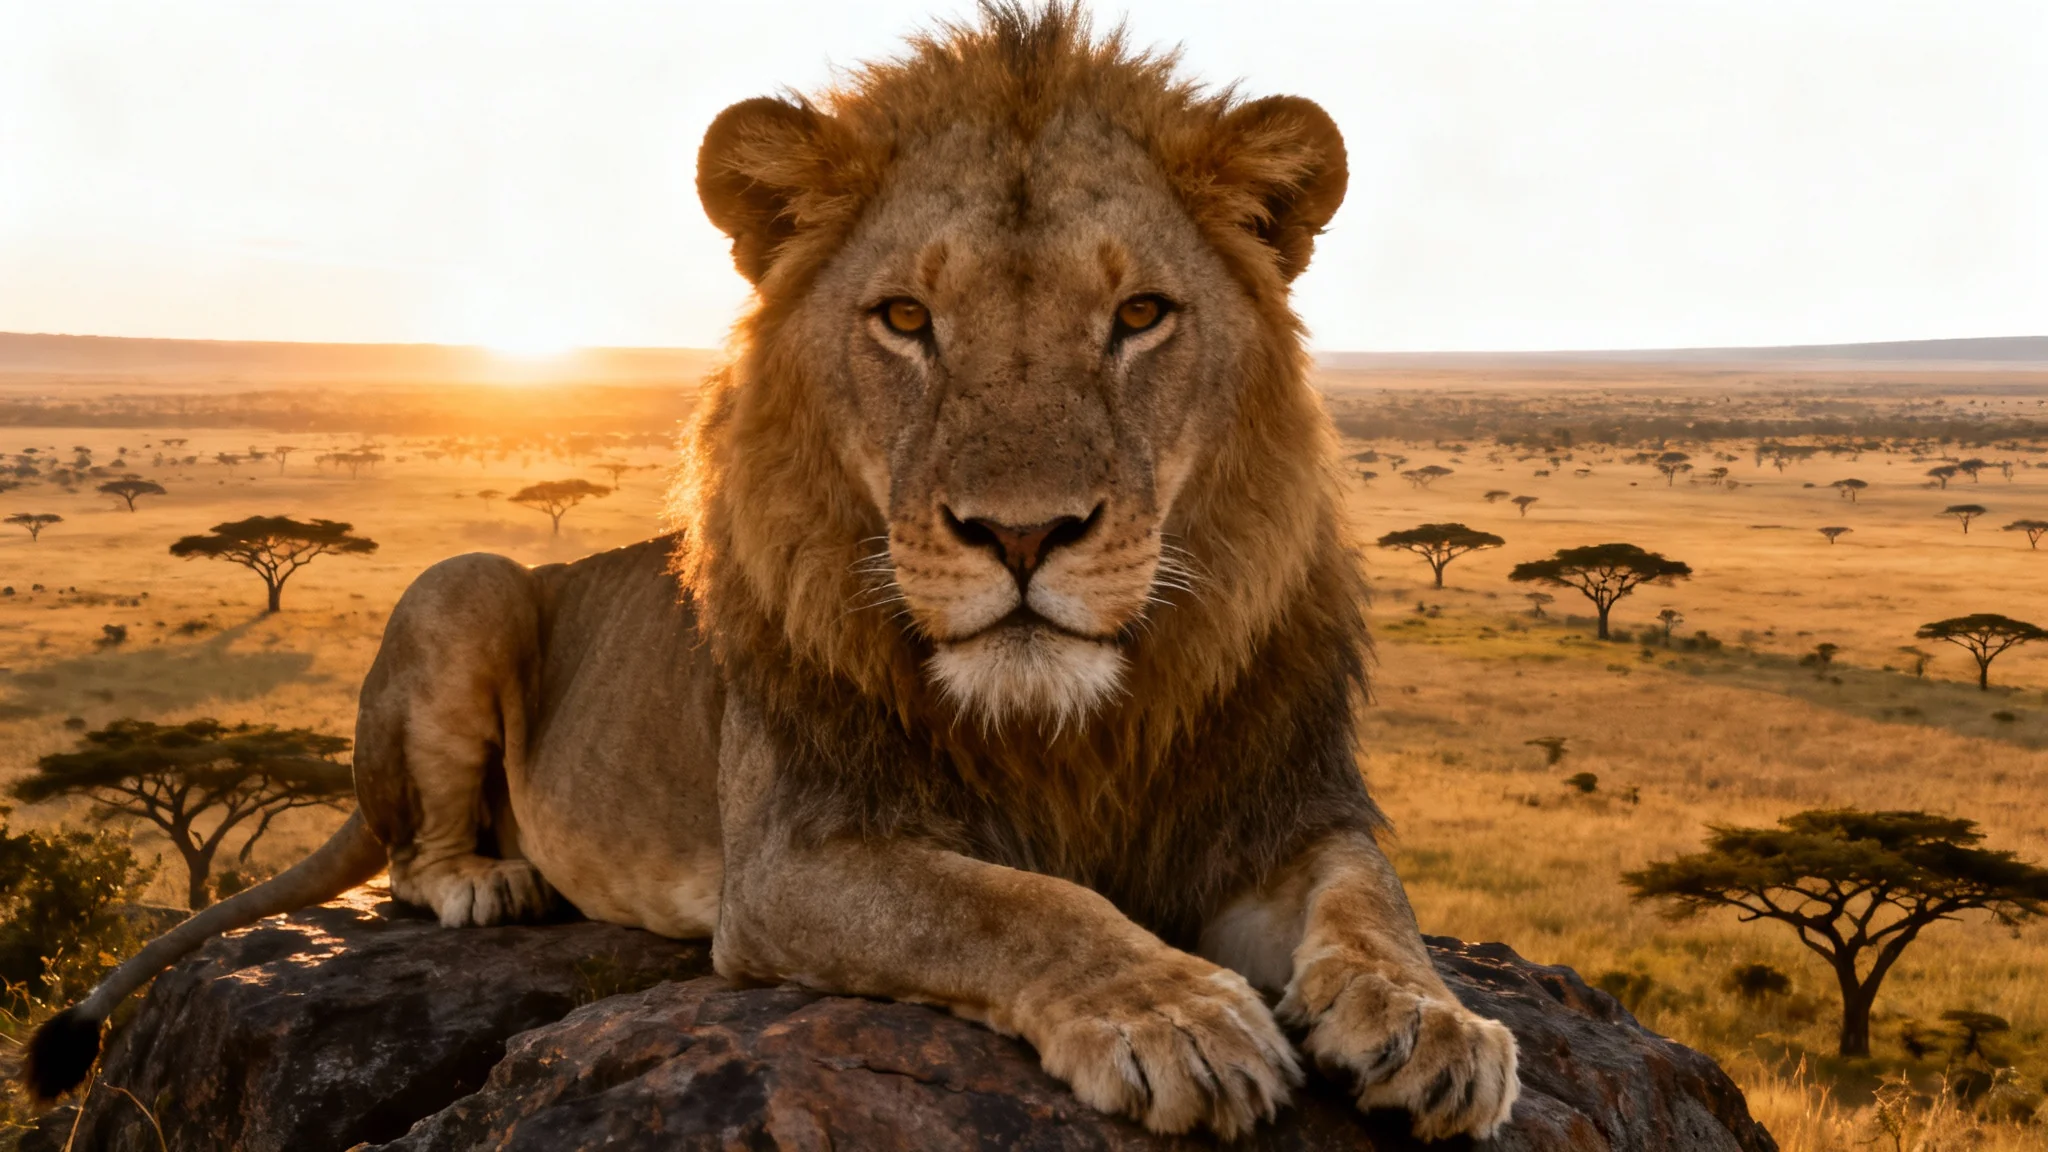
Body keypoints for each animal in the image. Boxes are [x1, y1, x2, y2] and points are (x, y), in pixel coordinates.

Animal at [26, 5, 1517, 1140]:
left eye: (1141, 315)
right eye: (906, 319)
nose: (1021, 534)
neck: (1068, 726)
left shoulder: (1277, 808)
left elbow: (1370, 901)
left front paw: (1434, 1023)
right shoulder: (796, 857)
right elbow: (1014, 903)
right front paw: (1178, 1013)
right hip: (468, 581)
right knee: (403, 853)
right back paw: (484, 879)